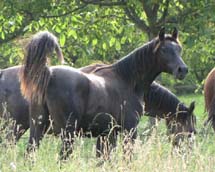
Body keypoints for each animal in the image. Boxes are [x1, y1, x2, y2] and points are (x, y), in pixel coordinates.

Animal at [17, 28, 189, 159]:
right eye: (164, 49)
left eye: (179, 49)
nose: (183, 70)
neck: (127, 80)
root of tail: (49, 74)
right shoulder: (129, 131)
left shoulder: (106, 135)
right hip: (67, 135)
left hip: (37, 130)